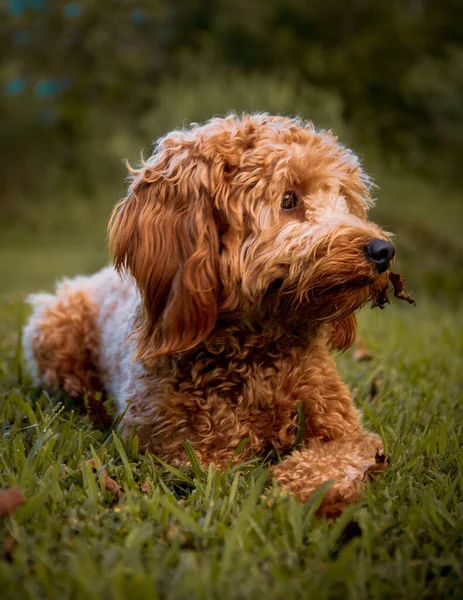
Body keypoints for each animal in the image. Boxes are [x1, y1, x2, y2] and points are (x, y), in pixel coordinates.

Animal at [24, 113, 402, 516]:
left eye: (344, 200)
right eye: (288, 200)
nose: (383, 250)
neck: (256, 354)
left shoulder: (348, 431)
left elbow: (341, 458)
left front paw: (299, 490)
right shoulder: (179, 447)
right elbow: (221, 470)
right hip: (53, 331)